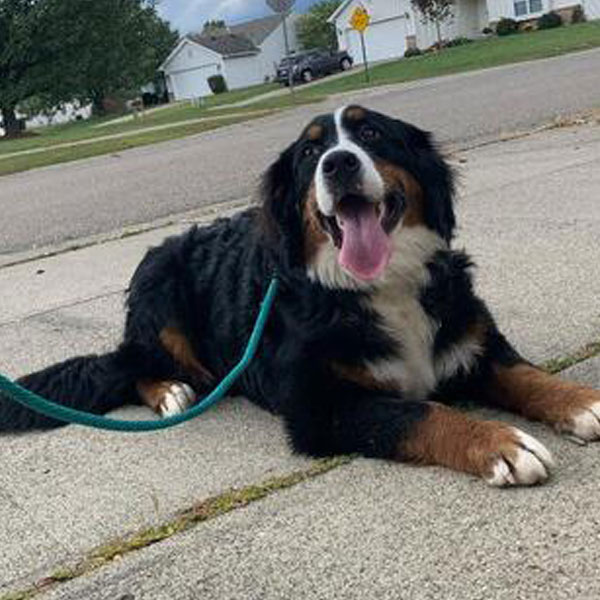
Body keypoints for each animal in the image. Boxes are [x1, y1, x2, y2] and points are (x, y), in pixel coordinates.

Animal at [1, 105, 600, 486]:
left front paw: (582, 401)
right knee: (133, 365)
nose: (338, 163)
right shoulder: (323, 406)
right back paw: (170, 391)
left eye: (372, 135)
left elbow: (529, 378)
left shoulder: (474, 345)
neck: (380, 284)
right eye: (311, 153)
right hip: (160, 294)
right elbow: (423, 413)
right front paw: (500, 444)